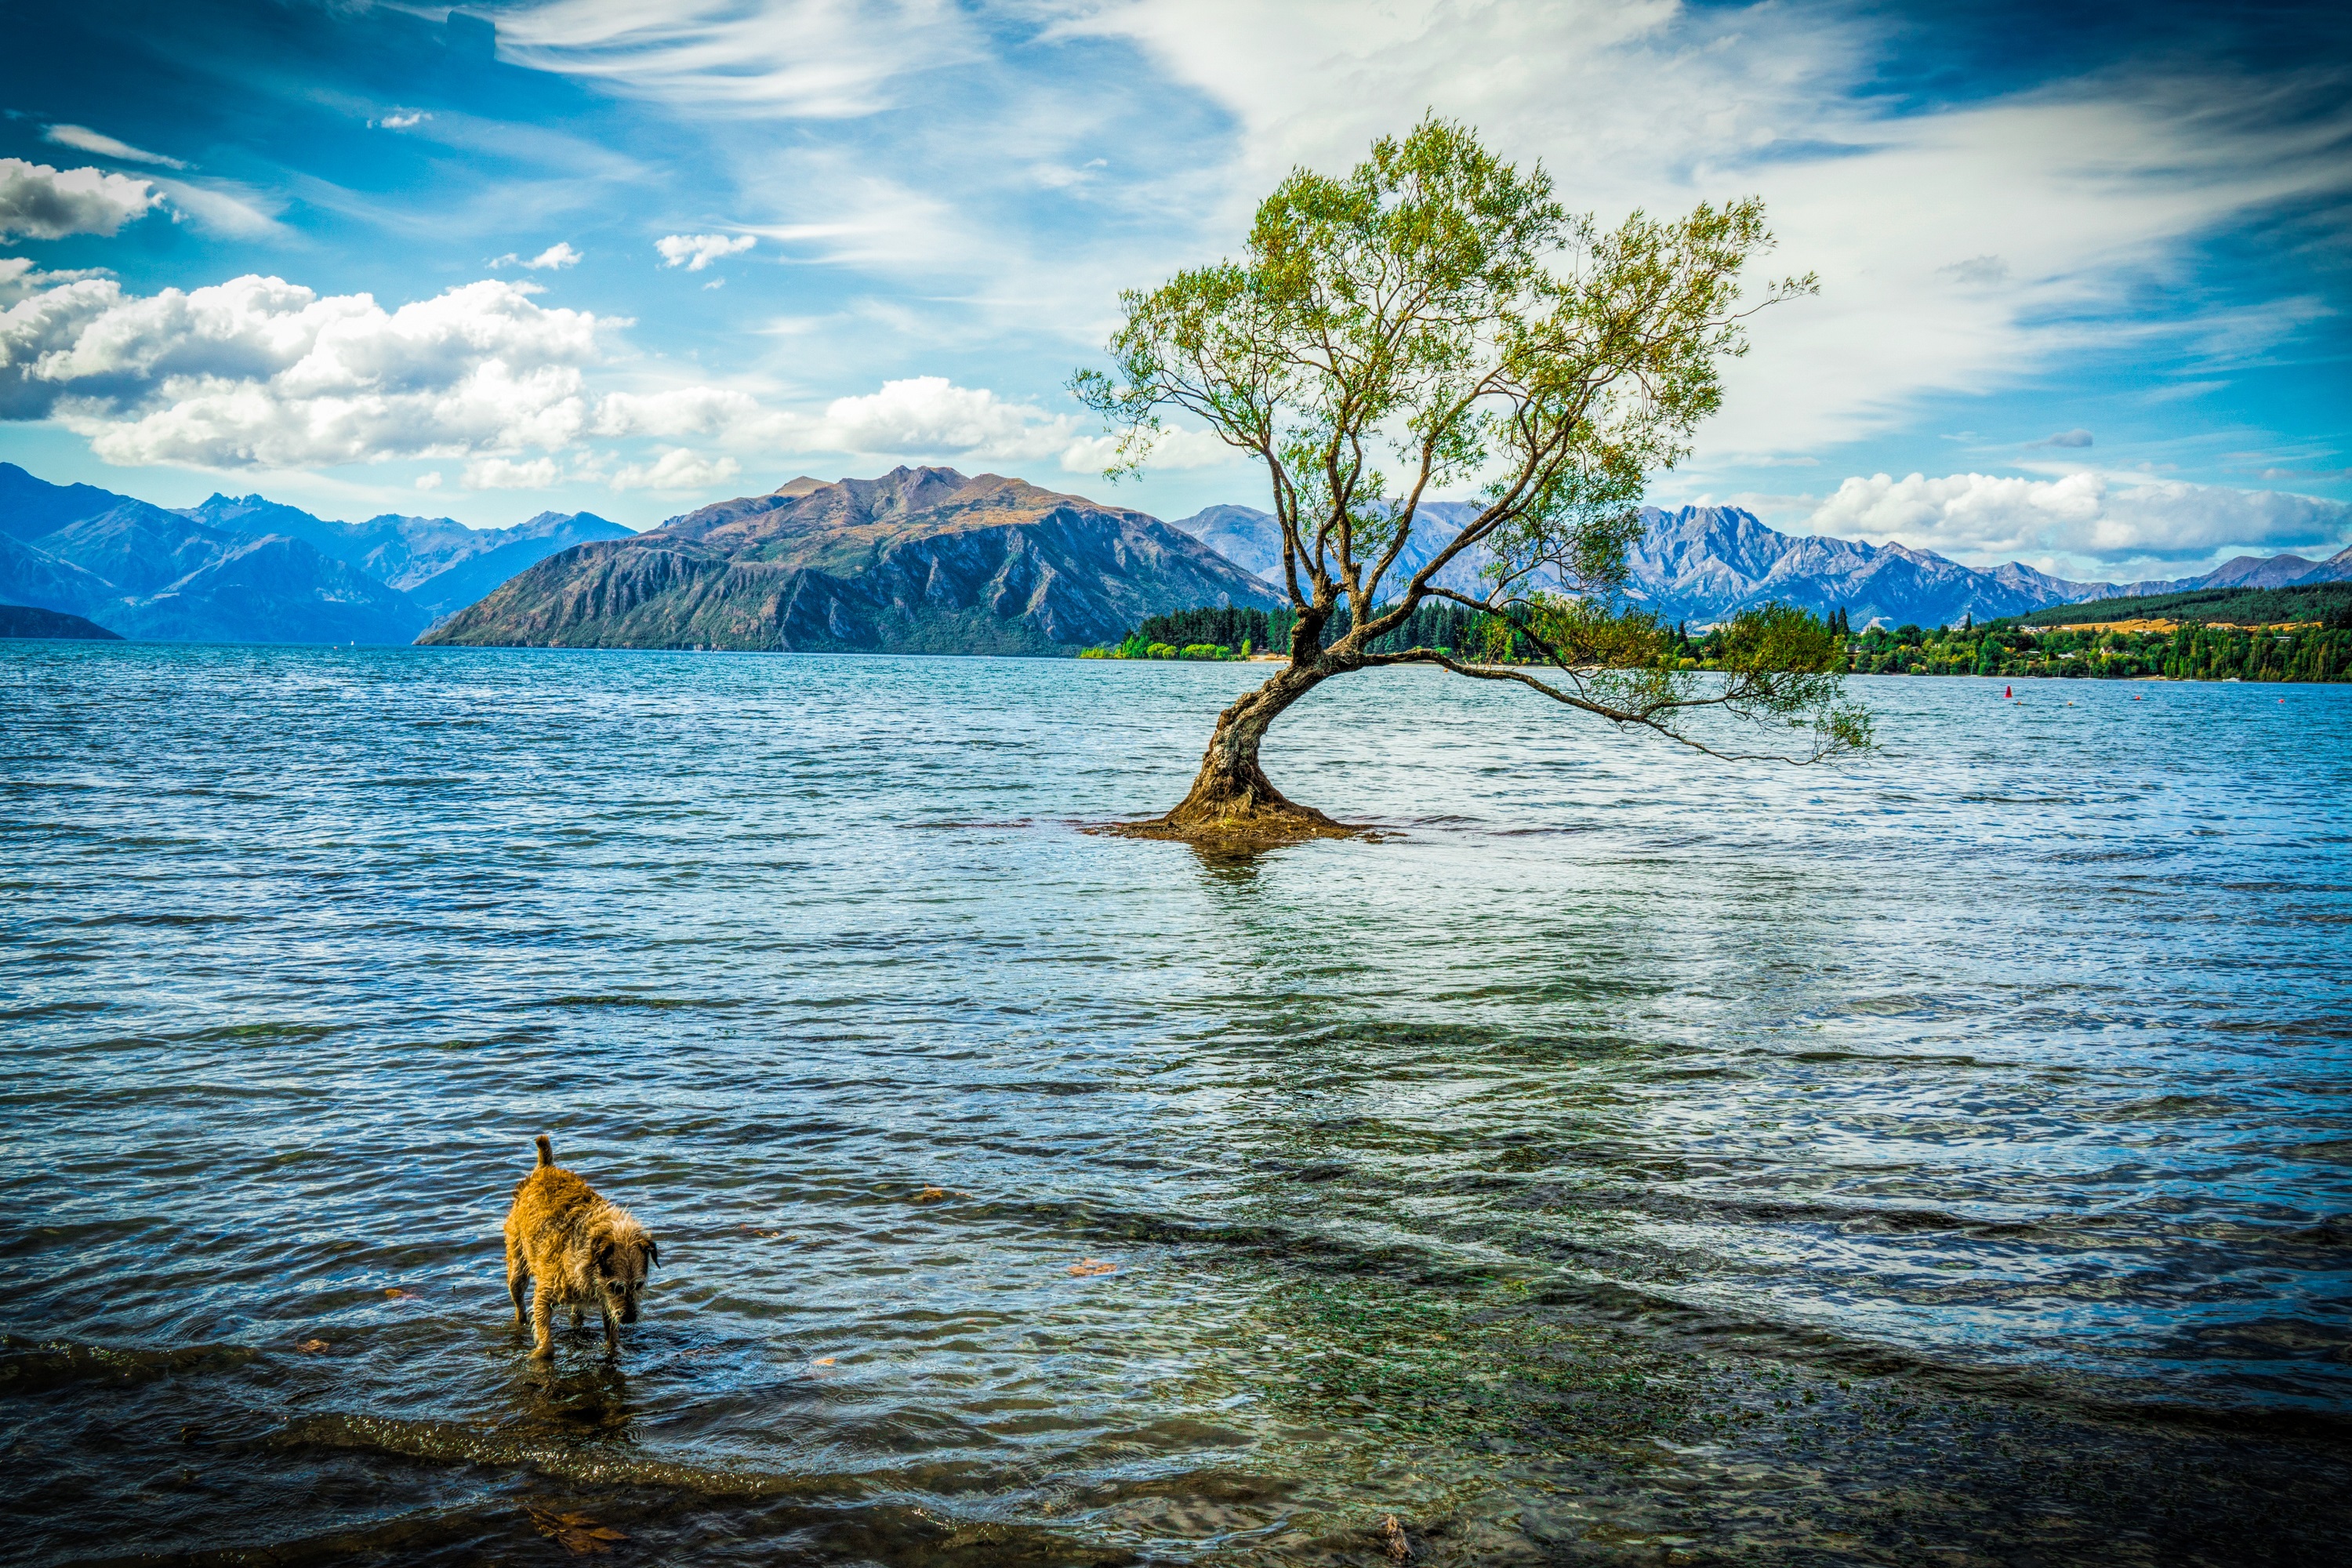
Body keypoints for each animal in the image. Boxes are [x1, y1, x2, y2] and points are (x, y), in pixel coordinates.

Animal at [501, 1128, 659, 1363]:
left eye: (639, 1285)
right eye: (616, 1287)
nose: (630, 1318)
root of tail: (545, 1168)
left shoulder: (606, 1301)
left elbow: (611, 1333)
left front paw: (615, 1349)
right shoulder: (545, 1293)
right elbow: (544, 1332)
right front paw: (540, 1354)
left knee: (577, 1311)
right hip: (517, 1257)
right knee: (518, 1295)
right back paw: (519, 1318)